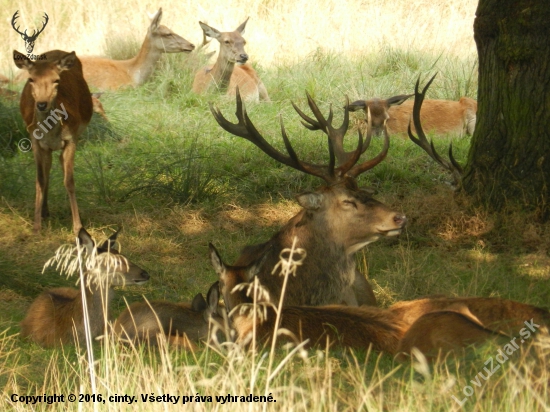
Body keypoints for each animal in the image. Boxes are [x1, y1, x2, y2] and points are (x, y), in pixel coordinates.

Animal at [13, 49, 93, 235]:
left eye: (56, 80)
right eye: (31, 79)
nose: (42, 104)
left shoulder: (71, 139)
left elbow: (69, 180)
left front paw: (78, 226)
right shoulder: (35, 141)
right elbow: (40, 179)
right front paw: (36, 227)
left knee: (59, 164)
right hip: (46, 148)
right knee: (48, 168)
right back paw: (44, 211)